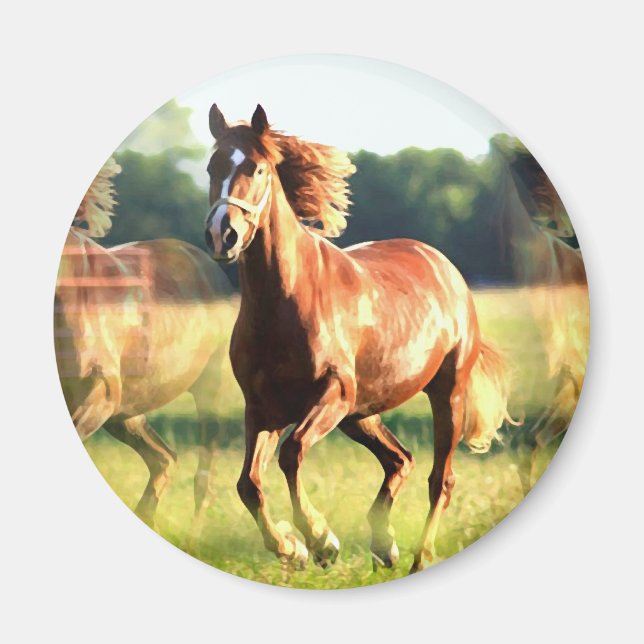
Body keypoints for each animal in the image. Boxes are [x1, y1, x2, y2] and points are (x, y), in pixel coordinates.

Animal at [203, 104, 515, 573]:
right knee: (400, 459)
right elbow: (249, 484)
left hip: (444, 395)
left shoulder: (333, 392)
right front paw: (291, 547)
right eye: (211, 167)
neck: (286, 300)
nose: (223, 235)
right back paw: (384, 546)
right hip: (361, 412)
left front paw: (320, 540)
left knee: (440, 479)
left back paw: (418, 558)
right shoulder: (262, 408)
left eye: (256, 168)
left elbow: (292, 453)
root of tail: (445, 267)